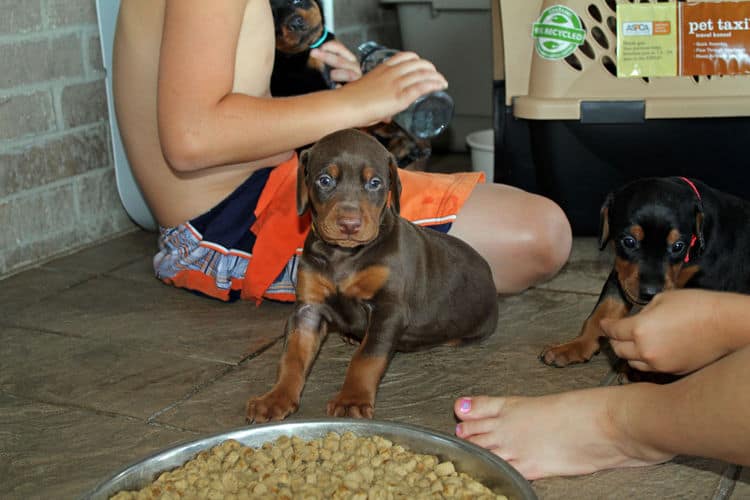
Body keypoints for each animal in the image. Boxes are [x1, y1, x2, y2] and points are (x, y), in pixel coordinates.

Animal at [247, 129, 500, 422]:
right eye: (325, 180)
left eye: (375, 183)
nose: (349, 224)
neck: (344, 255)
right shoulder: (309, 308)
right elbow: (292, 355)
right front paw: (276, 398)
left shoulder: (388, 309)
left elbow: (367, 356)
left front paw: (352, 399)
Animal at [544, 176, 750, 368]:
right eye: (628, 241)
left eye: (678, 246)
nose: (650, 293)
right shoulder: (621, 274)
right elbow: (601, 312)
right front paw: (574, 346)